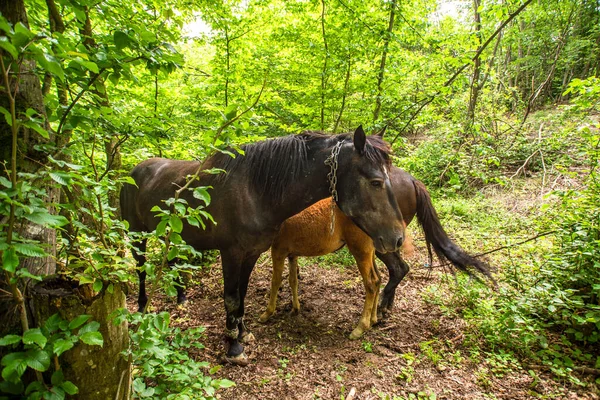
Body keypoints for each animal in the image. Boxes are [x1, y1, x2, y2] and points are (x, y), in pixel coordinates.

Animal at [119, 126, 406, 364]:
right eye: (376, 182)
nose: (398, 238)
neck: (255, 191)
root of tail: (133, 172)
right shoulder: (231, 254)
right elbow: (232, 298)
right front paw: (234, 348)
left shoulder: (252, 253)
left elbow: (242, 296)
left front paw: (242, 334)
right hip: (137, 235)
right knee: (141, 269)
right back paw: (142, 308)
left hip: (174, 237)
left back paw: (181, 299)